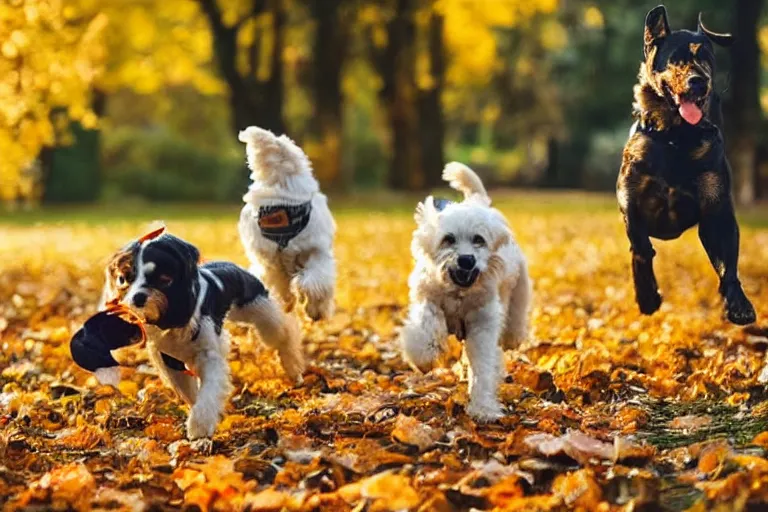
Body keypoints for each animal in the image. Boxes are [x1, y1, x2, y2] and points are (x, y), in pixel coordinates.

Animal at [96, 228, 300, 440]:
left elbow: (208, 390)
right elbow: (189, 391)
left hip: (261, 311)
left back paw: (293, 367)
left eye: (163, 279)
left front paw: (199, 426)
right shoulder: (170, 360)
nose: (137, 297)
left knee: (284, 332)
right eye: (123, 279)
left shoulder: (208, 355)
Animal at [400, 162, 532, 422]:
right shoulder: (427, 298)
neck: (459, 294)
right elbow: (425, 326)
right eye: (448, 239)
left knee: (514, 322)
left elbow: (483, 366)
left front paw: (483, 408)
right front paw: (424, 356)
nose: (466, 260)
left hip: (518, 293)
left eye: (478, 239)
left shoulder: (482, 324)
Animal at [616, 5, 756, 324]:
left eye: (706, 58)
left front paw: (738, 303)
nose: (699, 81)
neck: (676, 137)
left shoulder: (716, 207)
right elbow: (640, 246)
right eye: (675, 59)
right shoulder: (629, 195)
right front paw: (647, 294)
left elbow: (727, 260)